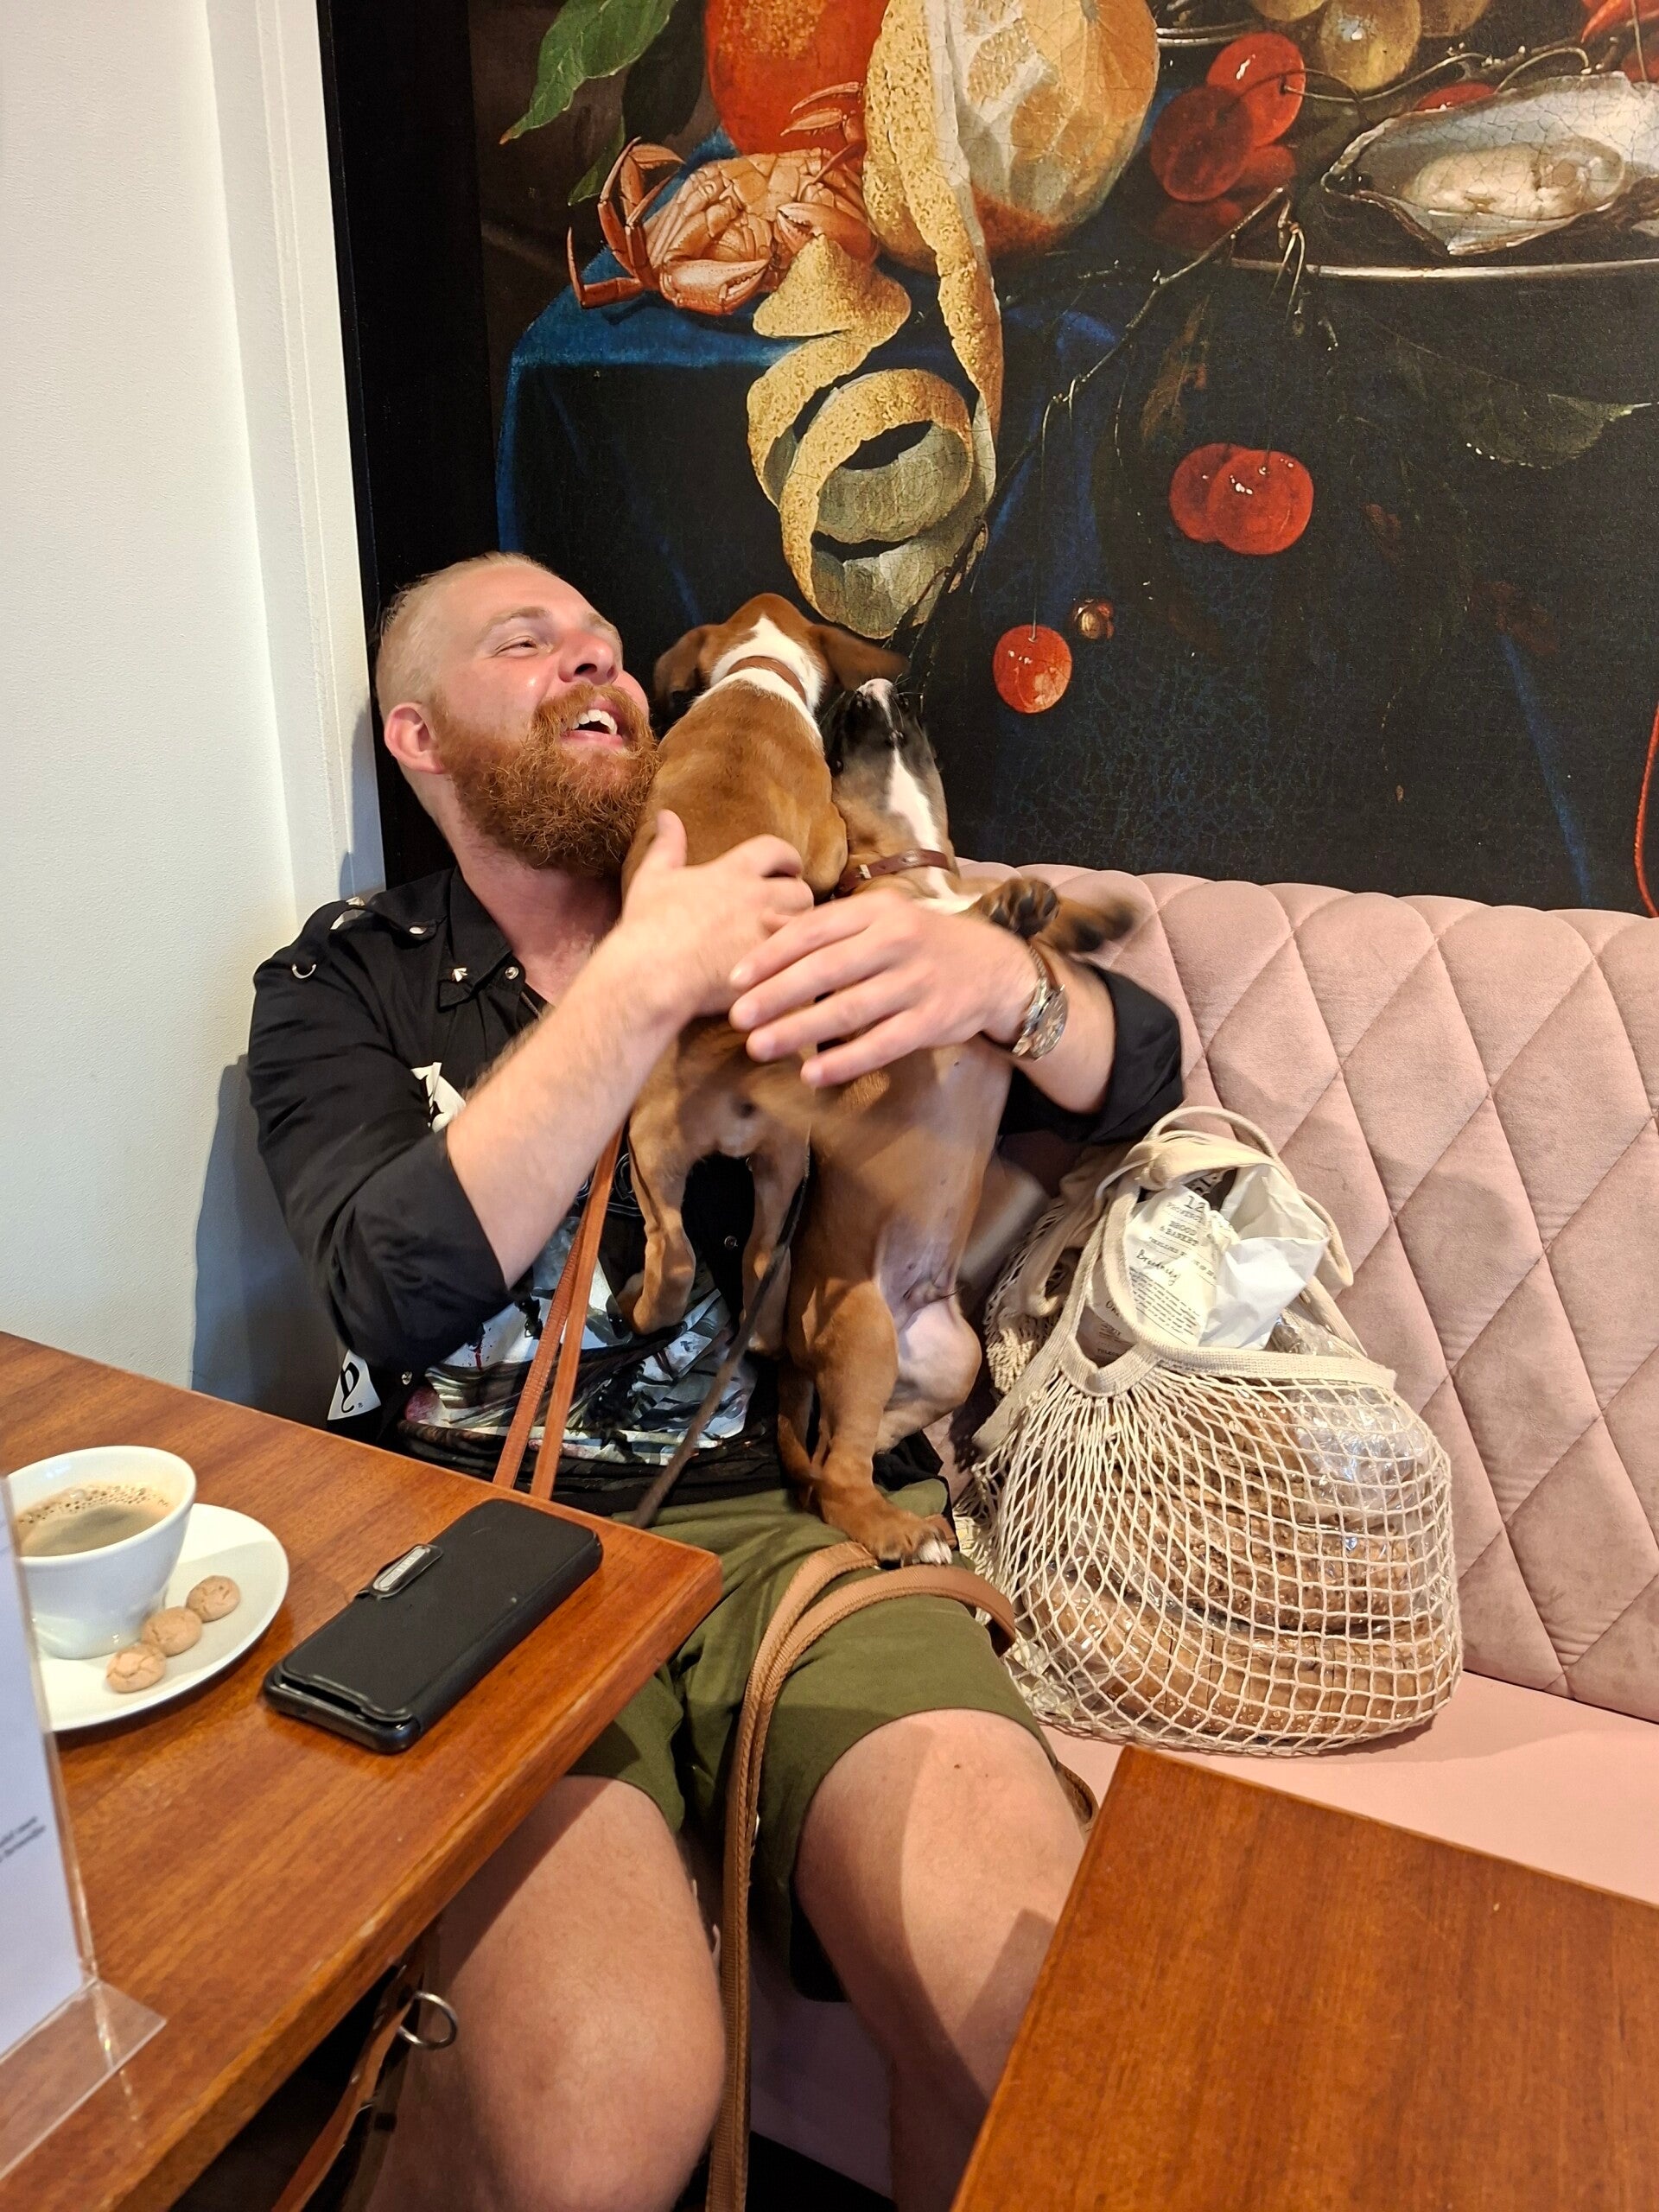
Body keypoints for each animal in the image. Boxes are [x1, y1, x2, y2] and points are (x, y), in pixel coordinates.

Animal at [617, 594, 904, 1344]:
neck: (760, 675)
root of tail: (740, 1061)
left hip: (677, 1160)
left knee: (694, 1258)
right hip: (751, 1161)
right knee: (733, 1258)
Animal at [773, 679, 1137, 1562]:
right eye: (837, 722)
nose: (876, 685)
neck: (916, 870)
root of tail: (792, 1346)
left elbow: (1021, 923)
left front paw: (1083, 912)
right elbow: (960, 927)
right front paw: (1010, 905)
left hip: (952, 1356)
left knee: (846, 1450)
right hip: (864, 1333)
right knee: (835, 1478)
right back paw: (900, 1532)